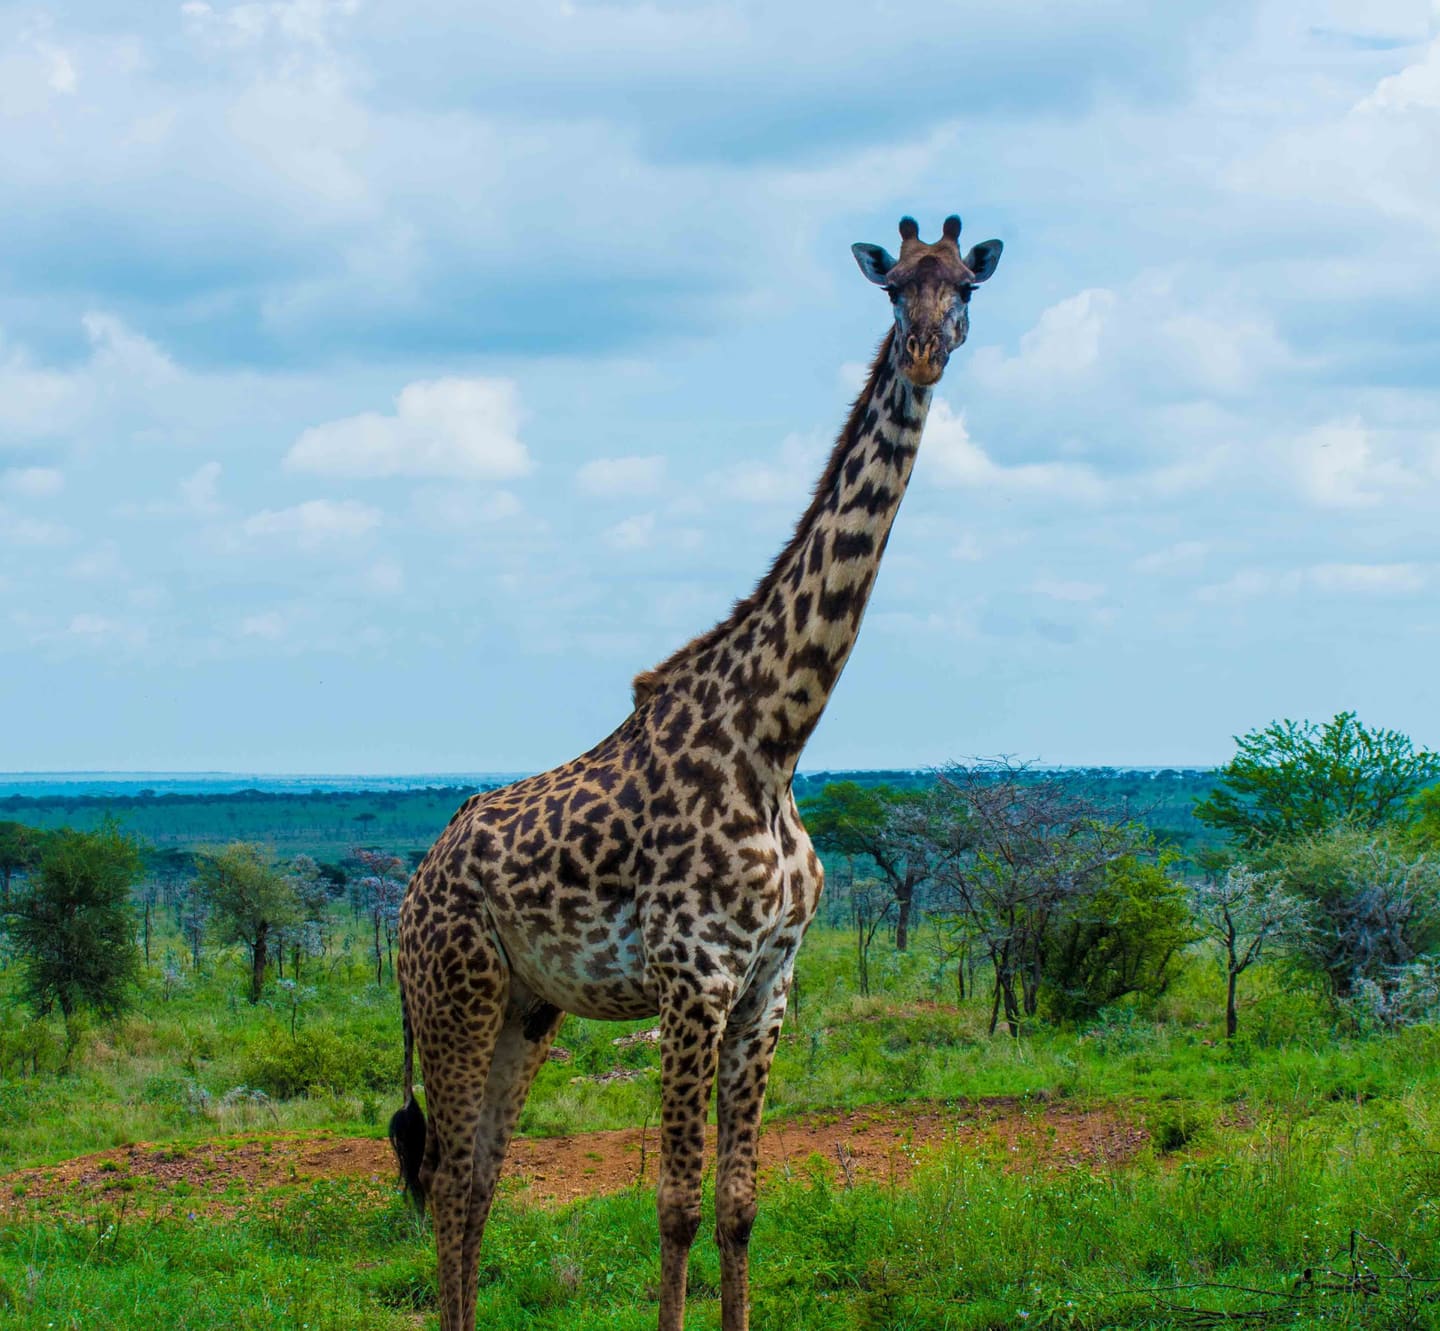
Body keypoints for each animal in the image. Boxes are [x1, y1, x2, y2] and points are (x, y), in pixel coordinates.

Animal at [391, 213, 1003, 1331]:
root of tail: (414, 887)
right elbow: (674, 1202)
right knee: (451, 1177)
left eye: (965, 288)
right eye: (894, 286)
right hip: (456, 992)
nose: (927, 350)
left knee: (481, 1175)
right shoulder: (692, 977)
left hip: (525, 1007)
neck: (776, 735)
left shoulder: (769, 983)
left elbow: (740, 1202)